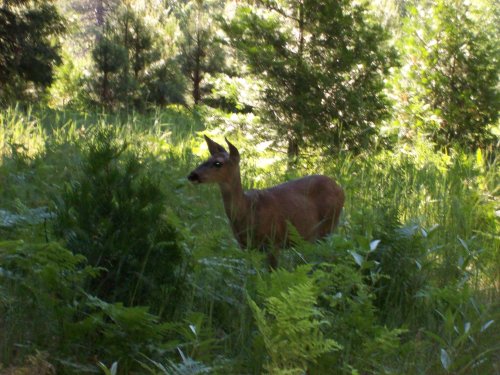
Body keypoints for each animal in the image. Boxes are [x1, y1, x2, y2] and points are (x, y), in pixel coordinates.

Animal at [186, 137, 346, 268]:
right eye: (206, 159)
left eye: (218, 163)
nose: (192, 175)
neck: (248, 211)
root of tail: (340, 189)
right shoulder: (244, 245)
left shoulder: (274, 242)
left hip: (328, 225)